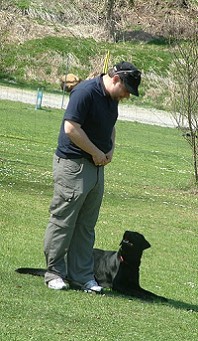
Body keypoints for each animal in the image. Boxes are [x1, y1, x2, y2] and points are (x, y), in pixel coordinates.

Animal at [15, 231, 167, 300]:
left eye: (135, 235)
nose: (126, 231)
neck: (128, 262)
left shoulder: (135, 284)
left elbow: (146, 291)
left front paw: (159, 297)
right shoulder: (119, 285)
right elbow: (136, 292)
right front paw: (146, 297)